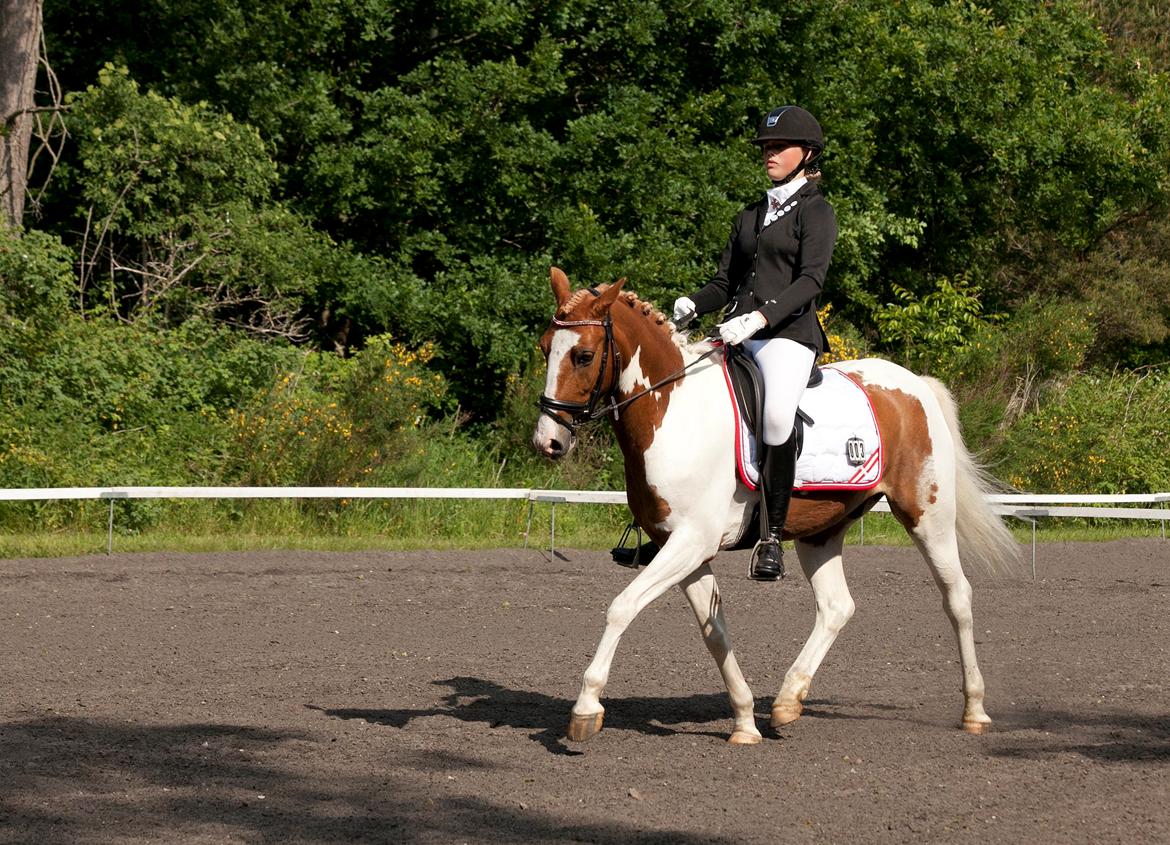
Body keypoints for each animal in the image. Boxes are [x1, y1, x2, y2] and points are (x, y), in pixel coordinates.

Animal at [535, 266, 1020, 739]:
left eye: (583, 356)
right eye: (544, 349)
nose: (548, 441)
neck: (673, 412)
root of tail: (915, 383)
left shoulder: (692, 541)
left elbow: (622, 607)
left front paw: (585, 708)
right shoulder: (684, 548)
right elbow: (715, 632)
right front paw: (745, 720)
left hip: (928, 516)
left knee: (957, 597)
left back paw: (975, 711)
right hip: (822, 531)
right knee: (837, 607)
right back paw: (788, 702)